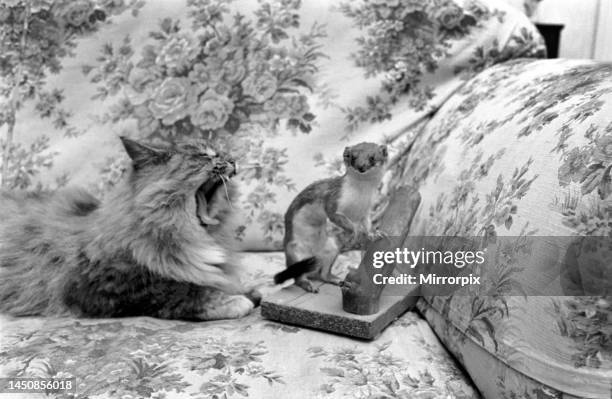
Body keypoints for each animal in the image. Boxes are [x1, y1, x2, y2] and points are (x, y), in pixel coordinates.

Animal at [0, 138, 260, 322]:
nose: (233, 159)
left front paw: (247, 290)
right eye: (204, 155)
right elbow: (183, 289)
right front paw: (233, 300)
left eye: (222, 152)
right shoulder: (105, 284)